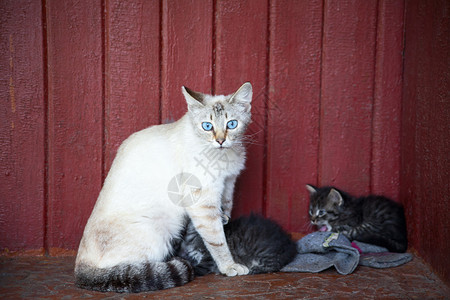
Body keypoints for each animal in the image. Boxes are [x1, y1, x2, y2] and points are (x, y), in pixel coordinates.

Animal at [74, 82, 253, 292]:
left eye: (231, 124)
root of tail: (79, 266)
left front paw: (224, 220)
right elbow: (217, 240)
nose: (220, 141)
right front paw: (229, 266)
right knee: (126, 272)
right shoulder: (202, 202)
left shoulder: (228, 183)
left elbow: (225, 210)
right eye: (207, 126)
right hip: (155, 236)